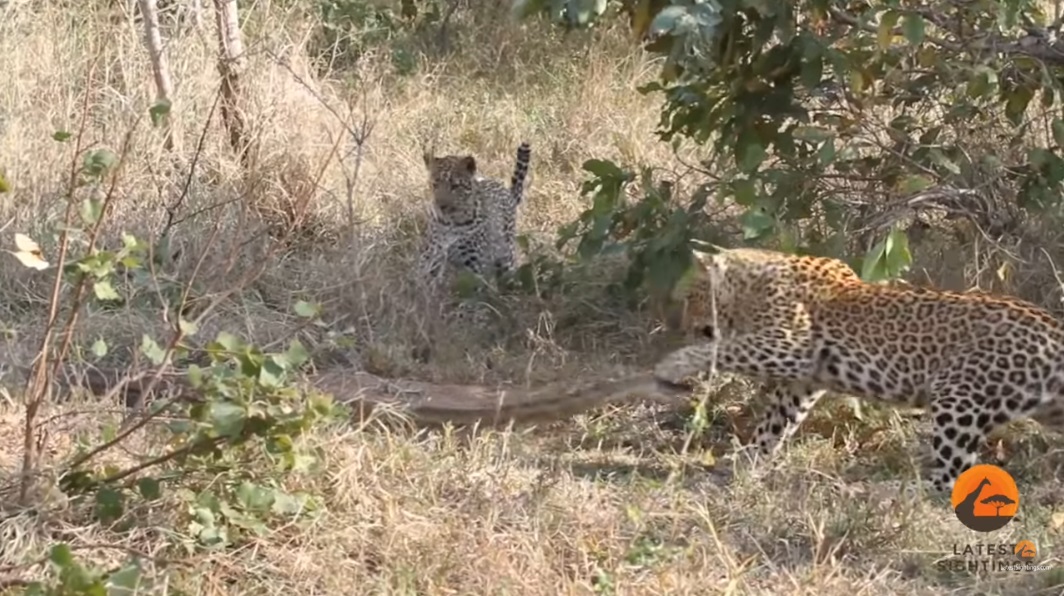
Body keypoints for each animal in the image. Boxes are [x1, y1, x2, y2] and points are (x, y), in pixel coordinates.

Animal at [416, 142, 532, 293]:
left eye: (455, 186)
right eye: (435, 184)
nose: (441, 205)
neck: (451, 222)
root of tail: (508, 192)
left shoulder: (474, 265)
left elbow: (472, 291)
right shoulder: (432, 256)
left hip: (506, 255)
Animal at [652, 245, 1064, 493]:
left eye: (690, 297)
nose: (682, 327)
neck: (748, 287)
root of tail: (1053, 329)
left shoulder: (790, 345)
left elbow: (724, 349)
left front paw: (674, 363)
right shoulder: (803, 380)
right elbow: (775, 422)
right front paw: (750, 456)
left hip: (959, 395)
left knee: (950, 476)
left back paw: (893, 491)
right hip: (1047, 407)